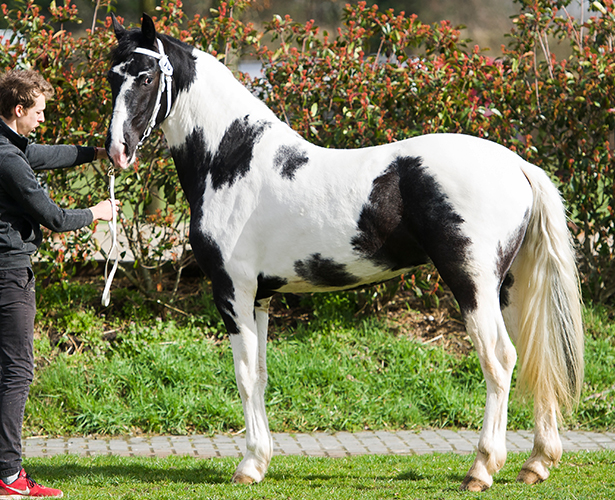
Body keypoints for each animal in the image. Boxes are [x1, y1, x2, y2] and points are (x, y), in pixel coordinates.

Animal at [107, 14, 588, 492]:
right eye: (112, 76)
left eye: (146, 77)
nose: (118, 150)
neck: (232, 161)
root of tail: (518, 165)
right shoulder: (260, 297)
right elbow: (260, 375)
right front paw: (260, 462)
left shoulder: (233, 291)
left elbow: (243, 376)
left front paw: (247, 467)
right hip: (511, 287)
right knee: (535, 356)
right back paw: (538, 462)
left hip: (473, 285)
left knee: (500, 360)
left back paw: (482, 468)